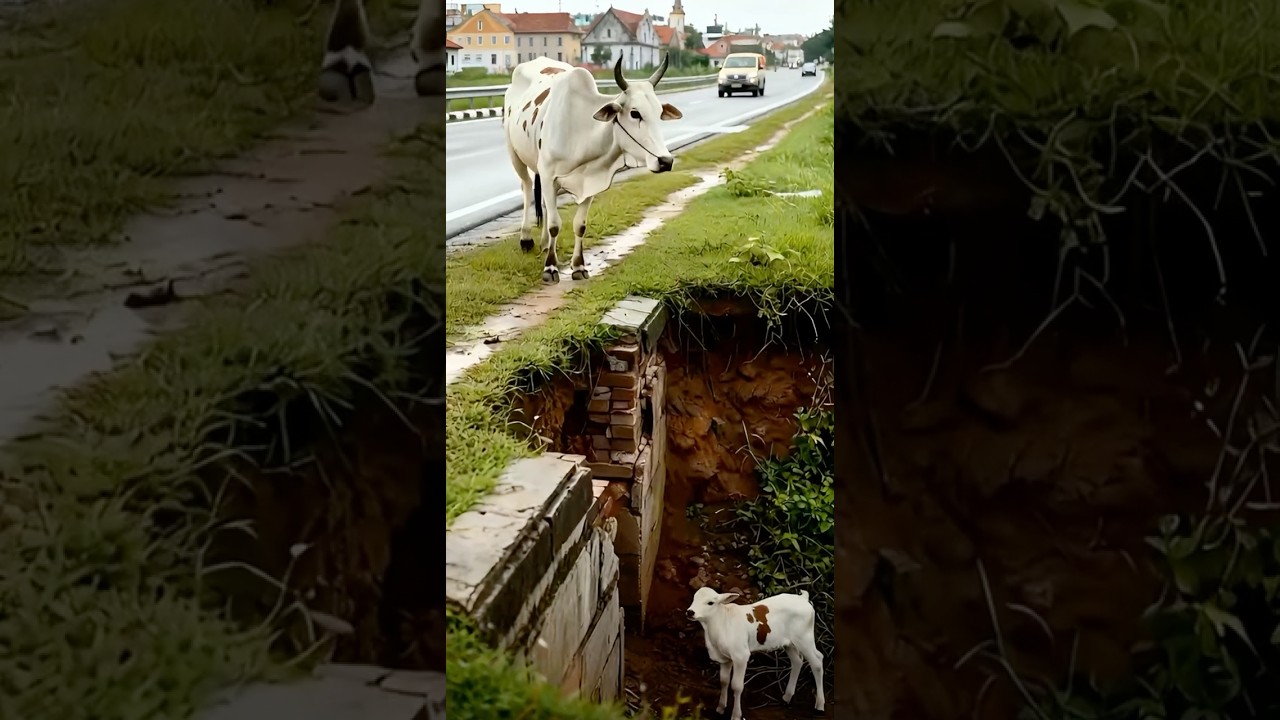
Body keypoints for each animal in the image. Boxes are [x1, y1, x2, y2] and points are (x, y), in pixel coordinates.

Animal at [502, 53, 683, 283]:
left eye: (659, 113)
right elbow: (554, 225)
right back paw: (526, 238)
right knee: (526, 188)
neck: (580, 130)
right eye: (635, 113)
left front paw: (579, 266)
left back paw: (543, 244)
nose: (665, 161)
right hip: (515, 154)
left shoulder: (588, 183)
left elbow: (580, 225)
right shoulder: (549, 175)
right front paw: (550, 267)